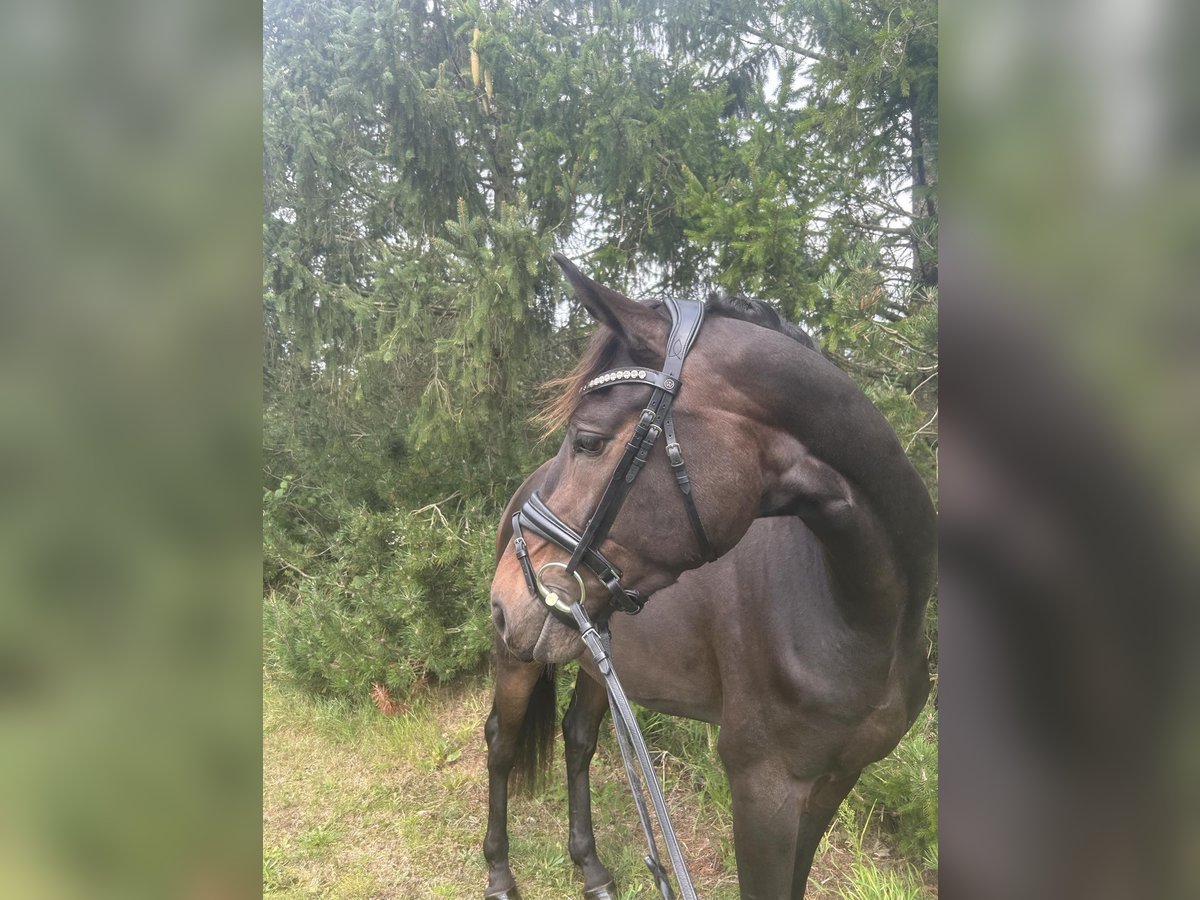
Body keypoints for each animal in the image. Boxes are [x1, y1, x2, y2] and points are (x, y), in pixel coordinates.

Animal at [482, 256, 931, 897]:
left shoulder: (832, 782)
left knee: (578, 739)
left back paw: (591, 868)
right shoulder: (764, 789)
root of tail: (521, 491)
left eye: (588, 440)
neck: (864, 621)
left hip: (599, 658)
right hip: (518, 659)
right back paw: (499, 872)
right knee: (501, 742)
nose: (504, 600)